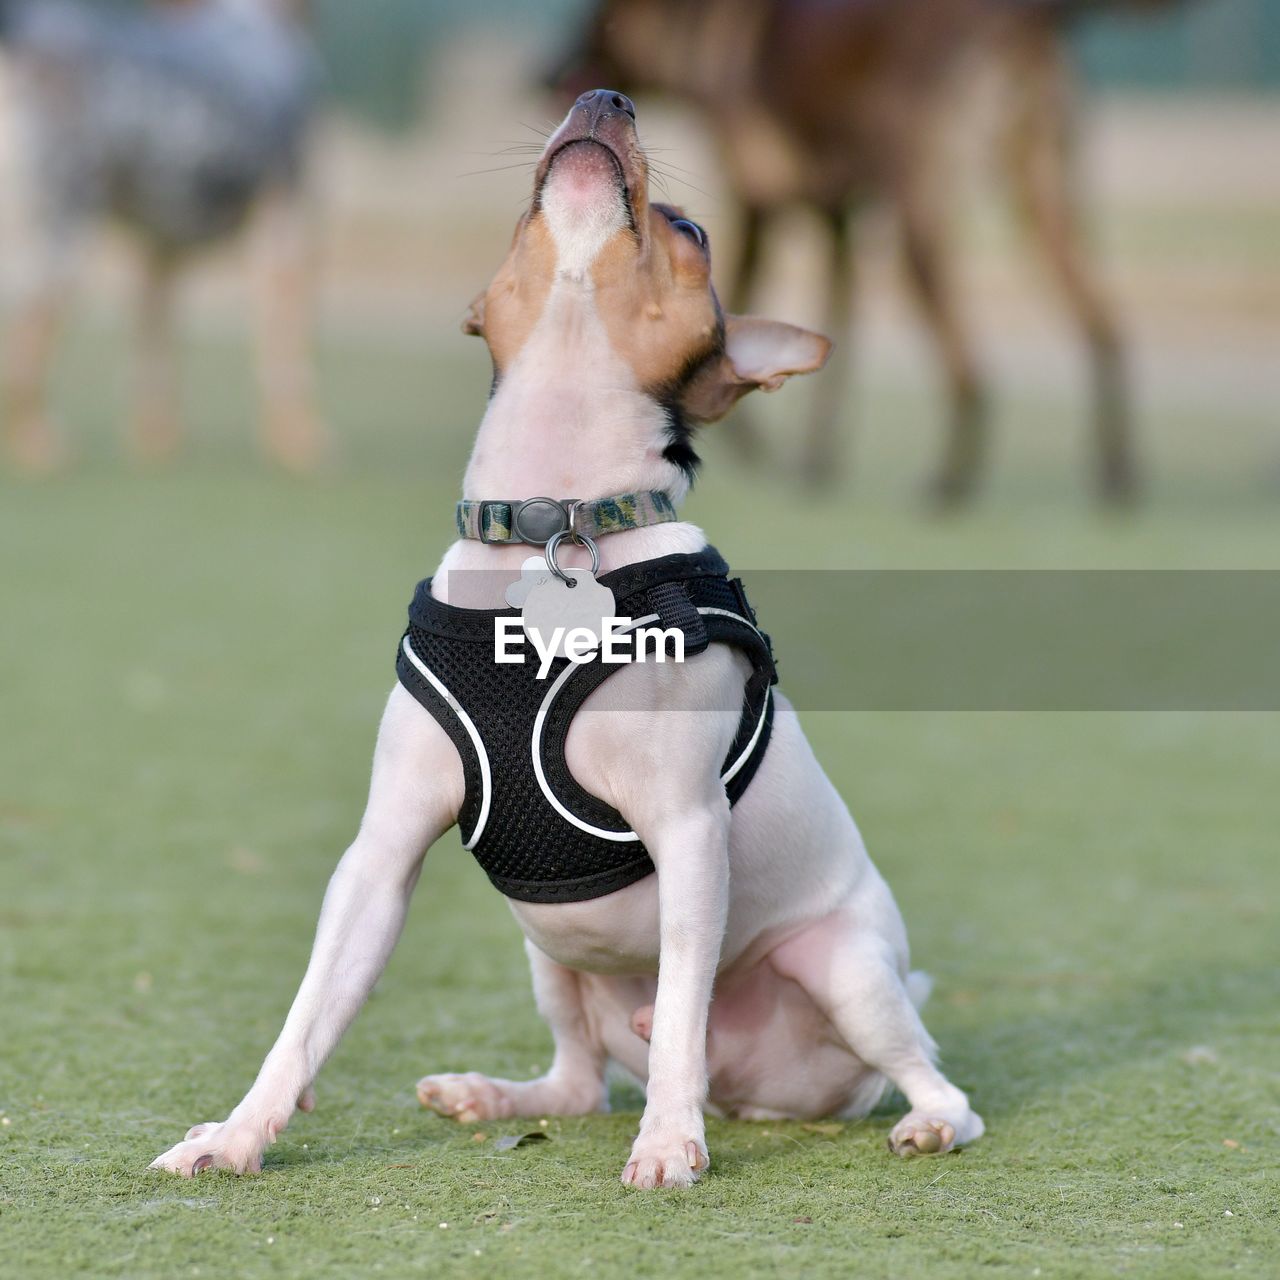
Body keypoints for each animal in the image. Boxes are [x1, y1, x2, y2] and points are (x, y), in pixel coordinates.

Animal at [6, 0, 325, 473]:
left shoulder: (159, 251)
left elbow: (153, 355)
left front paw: (156, 442)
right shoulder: (287, 232)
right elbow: (287, 355)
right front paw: (297, 441)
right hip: (62, 238)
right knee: (25, 344)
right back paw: (36, 445)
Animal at [555, 0, 1172, 499]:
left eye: (595, 25)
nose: (551, 76)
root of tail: (1019, 19)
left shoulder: (760, 205)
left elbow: (737, 308)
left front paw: (755, 444)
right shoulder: (838, 222)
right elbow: (838, 335)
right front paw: (815, 460)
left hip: (919, 220)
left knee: (971, 368)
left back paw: (952, 483)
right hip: (1045, 207)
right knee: (1105, 327)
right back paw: (1117, 479)